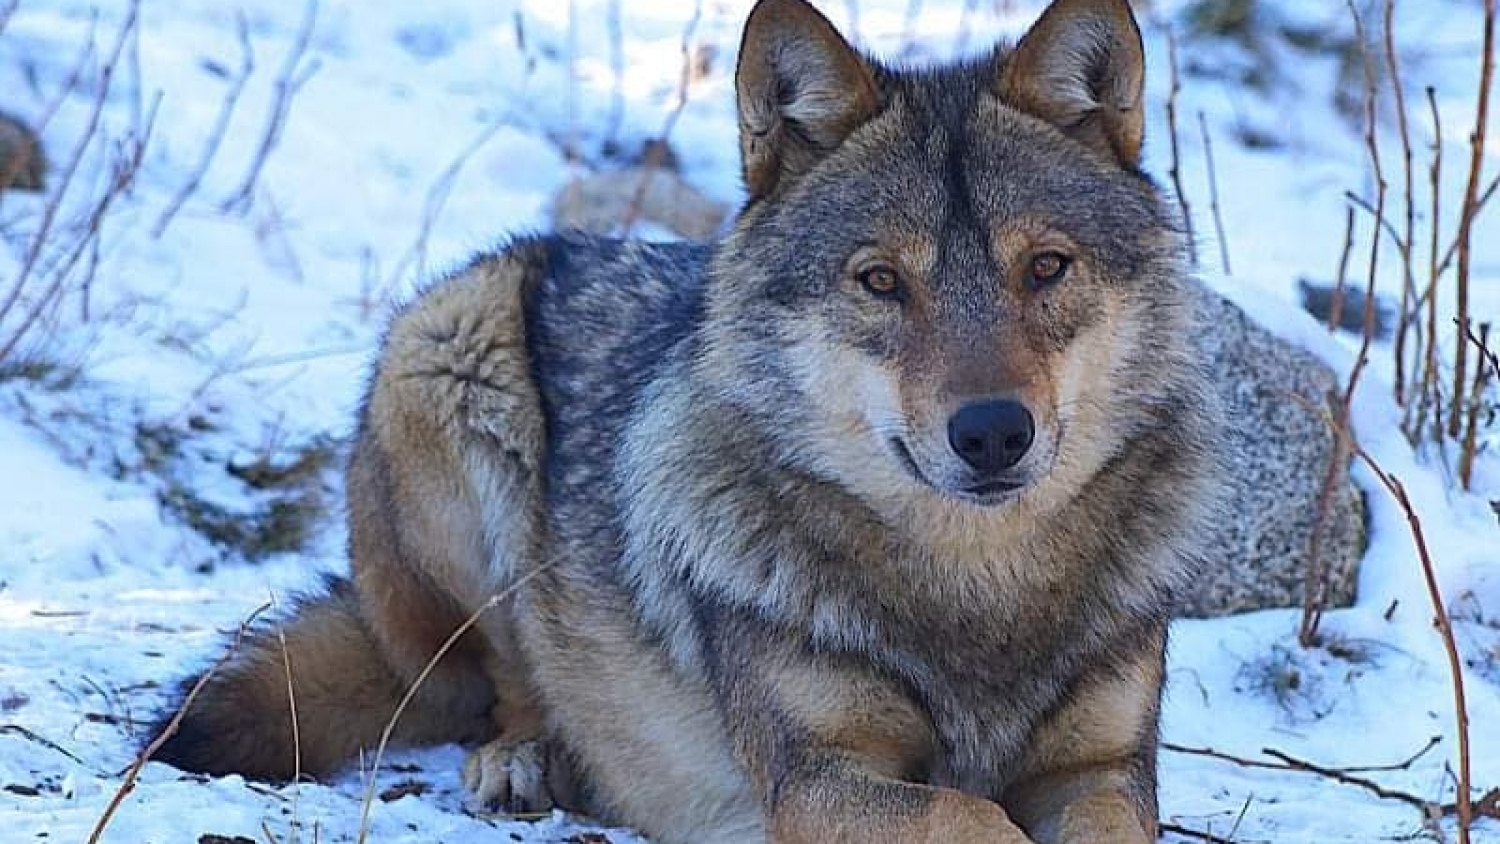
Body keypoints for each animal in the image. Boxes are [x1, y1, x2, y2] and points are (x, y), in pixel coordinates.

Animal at [155, 1, 1230, 844]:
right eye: (882, 282)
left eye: (1045, 268)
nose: (995, 433)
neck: (977, 594)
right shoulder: (814, 777)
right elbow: (971, 812)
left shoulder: (1101, 772)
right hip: (448, 348)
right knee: (493, 684)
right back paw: (529, 761)